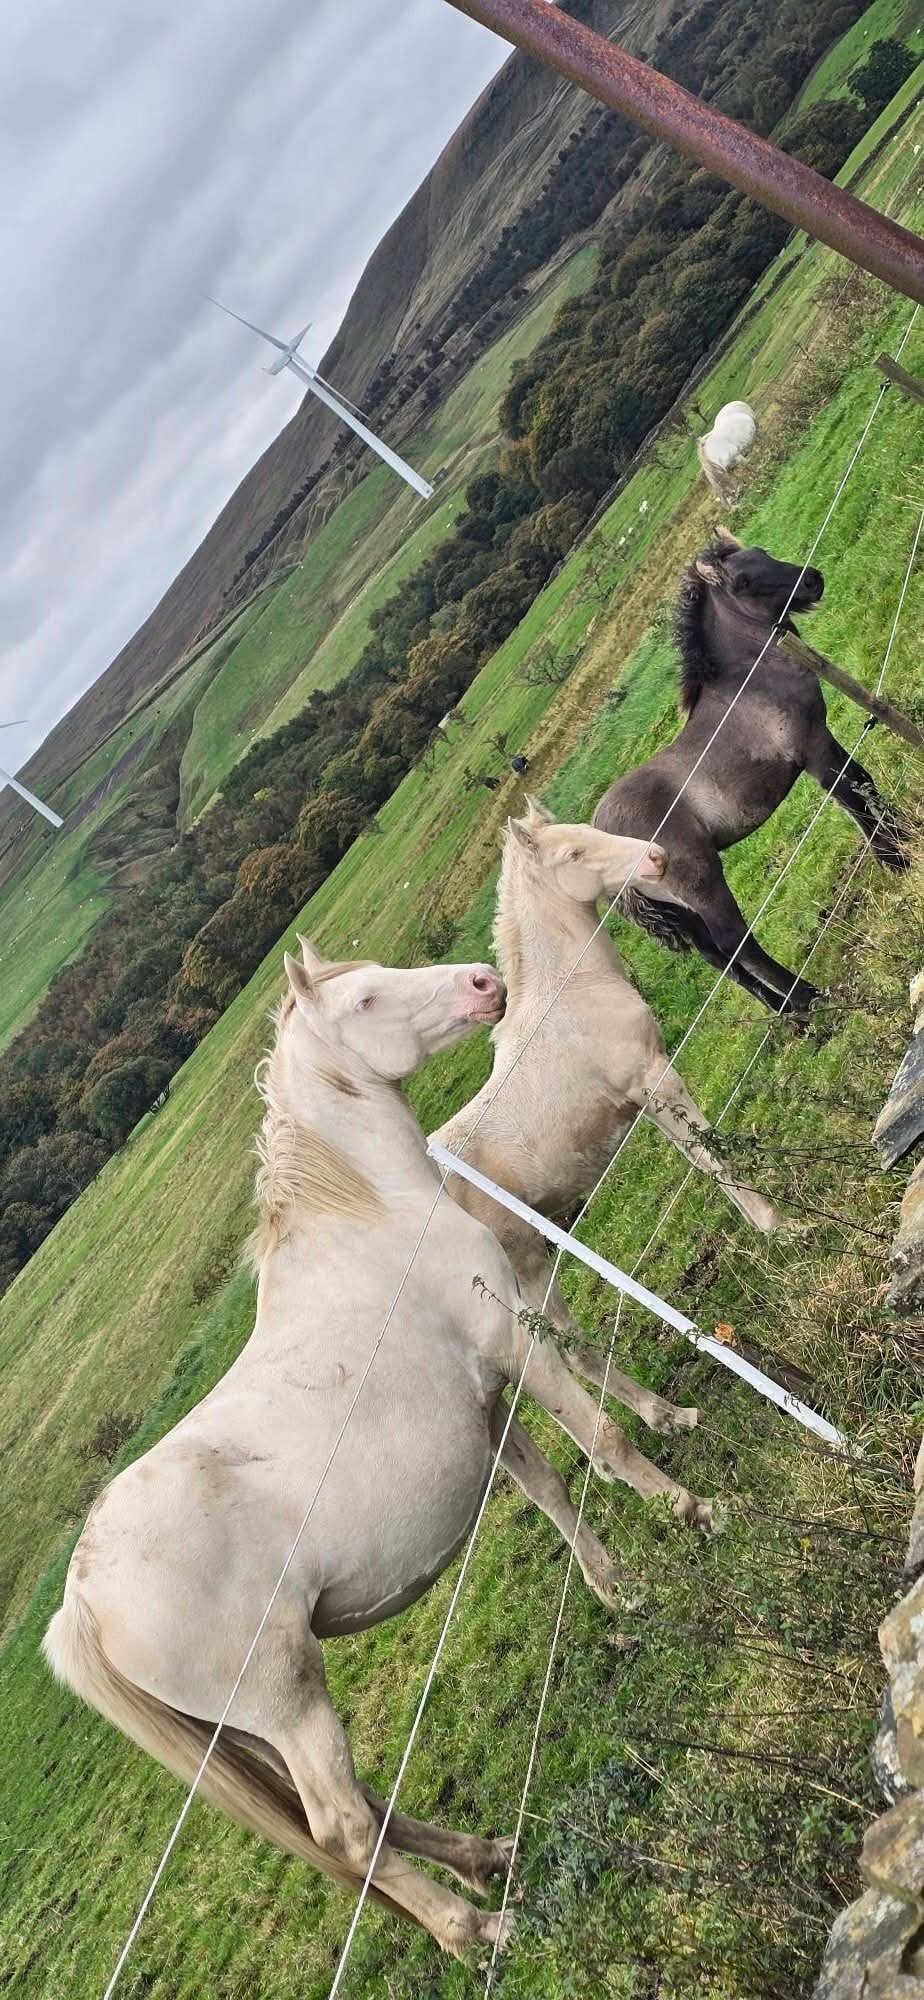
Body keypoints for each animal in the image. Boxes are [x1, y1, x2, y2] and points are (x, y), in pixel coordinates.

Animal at [43, 940, 714, 1956]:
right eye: (364, 997)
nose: (485, 983)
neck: (373, 1221)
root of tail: (82, 1598)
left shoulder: (485, 1405)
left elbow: (556, 1493)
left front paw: (623, 1590)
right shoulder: (517, 1346)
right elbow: (601, 1440)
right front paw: (692, 1511)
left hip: (255, 1730)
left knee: (371, 1812)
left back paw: (487, 1857)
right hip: (289, 1703)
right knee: (346, 1831)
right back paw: (480, 1930)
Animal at [433, 804, 779, 1413]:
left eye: (586, 831)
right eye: (572, 853)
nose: (656, 857)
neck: (570, 992)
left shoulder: (646, 1094)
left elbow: (700, 1159)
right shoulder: (655, 1078)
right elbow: (714, 1158)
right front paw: (778, 1227)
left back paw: (668, 1418)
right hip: (525, 1267)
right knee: (566, 1352)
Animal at [593, 535, 908, 1017]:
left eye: (763, 553)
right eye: (742, 580)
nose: (812, 580)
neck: (750, 677)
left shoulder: (821, 738)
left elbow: (861, 785)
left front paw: (903, 845)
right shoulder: (812, 749)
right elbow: (852, 796)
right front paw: (897, 860)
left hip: (683, 912)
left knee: (718, 959)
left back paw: (789, 1015)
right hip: (703, 885)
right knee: (735, 944)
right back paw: (810, 1000)